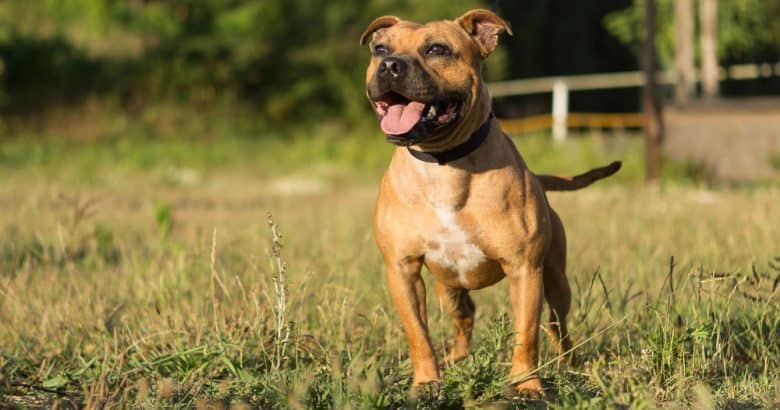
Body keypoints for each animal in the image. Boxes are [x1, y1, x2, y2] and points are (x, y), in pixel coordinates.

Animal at [360, 8, 620, 396]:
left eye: (437, 49)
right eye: (380, 49)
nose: (390, 65)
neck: (444, 164)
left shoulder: (525, 269)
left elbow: (526, 334)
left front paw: (526, 386)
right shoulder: (402, 269)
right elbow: (418, 334)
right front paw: (427, 382)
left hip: (556, 280)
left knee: (557, 324)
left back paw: (568, 364)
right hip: (448, 286)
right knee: (464, 315)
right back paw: (456, 359)